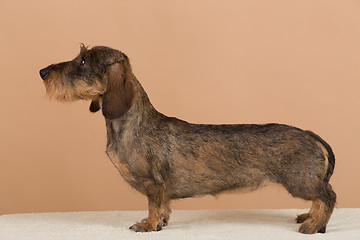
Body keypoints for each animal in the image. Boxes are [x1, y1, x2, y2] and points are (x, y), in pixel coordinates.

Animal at [40, 44, 336, 233]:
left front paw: (148, 225)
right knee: (319, 198)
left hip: (299, 182)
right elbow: (164, 206)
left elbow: (153, 205)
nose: (42, 72)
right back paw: (309, 216)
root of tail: (309, 134)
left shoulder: (152, 183)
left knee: (327, 196)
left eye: (83, 61)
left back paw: (315, 225)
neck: (132, 125)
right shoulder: (161, 189)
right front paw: (160, 222)